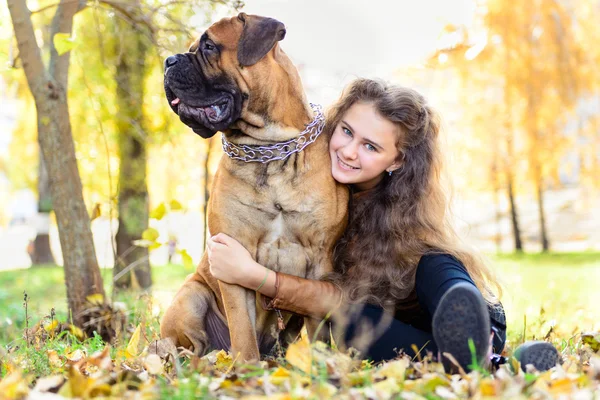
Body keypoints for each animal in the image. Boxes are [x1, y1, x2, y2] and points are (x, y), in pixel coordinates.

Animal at [161, 13, 346, 362]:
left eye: (208, 47)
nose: (167, 61)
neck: (269, 149)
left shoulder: (320, 260)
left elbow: (317, 326)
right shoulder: (232, 256)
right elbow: (242, 328)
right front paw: (245, 369)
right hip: (191, 296)